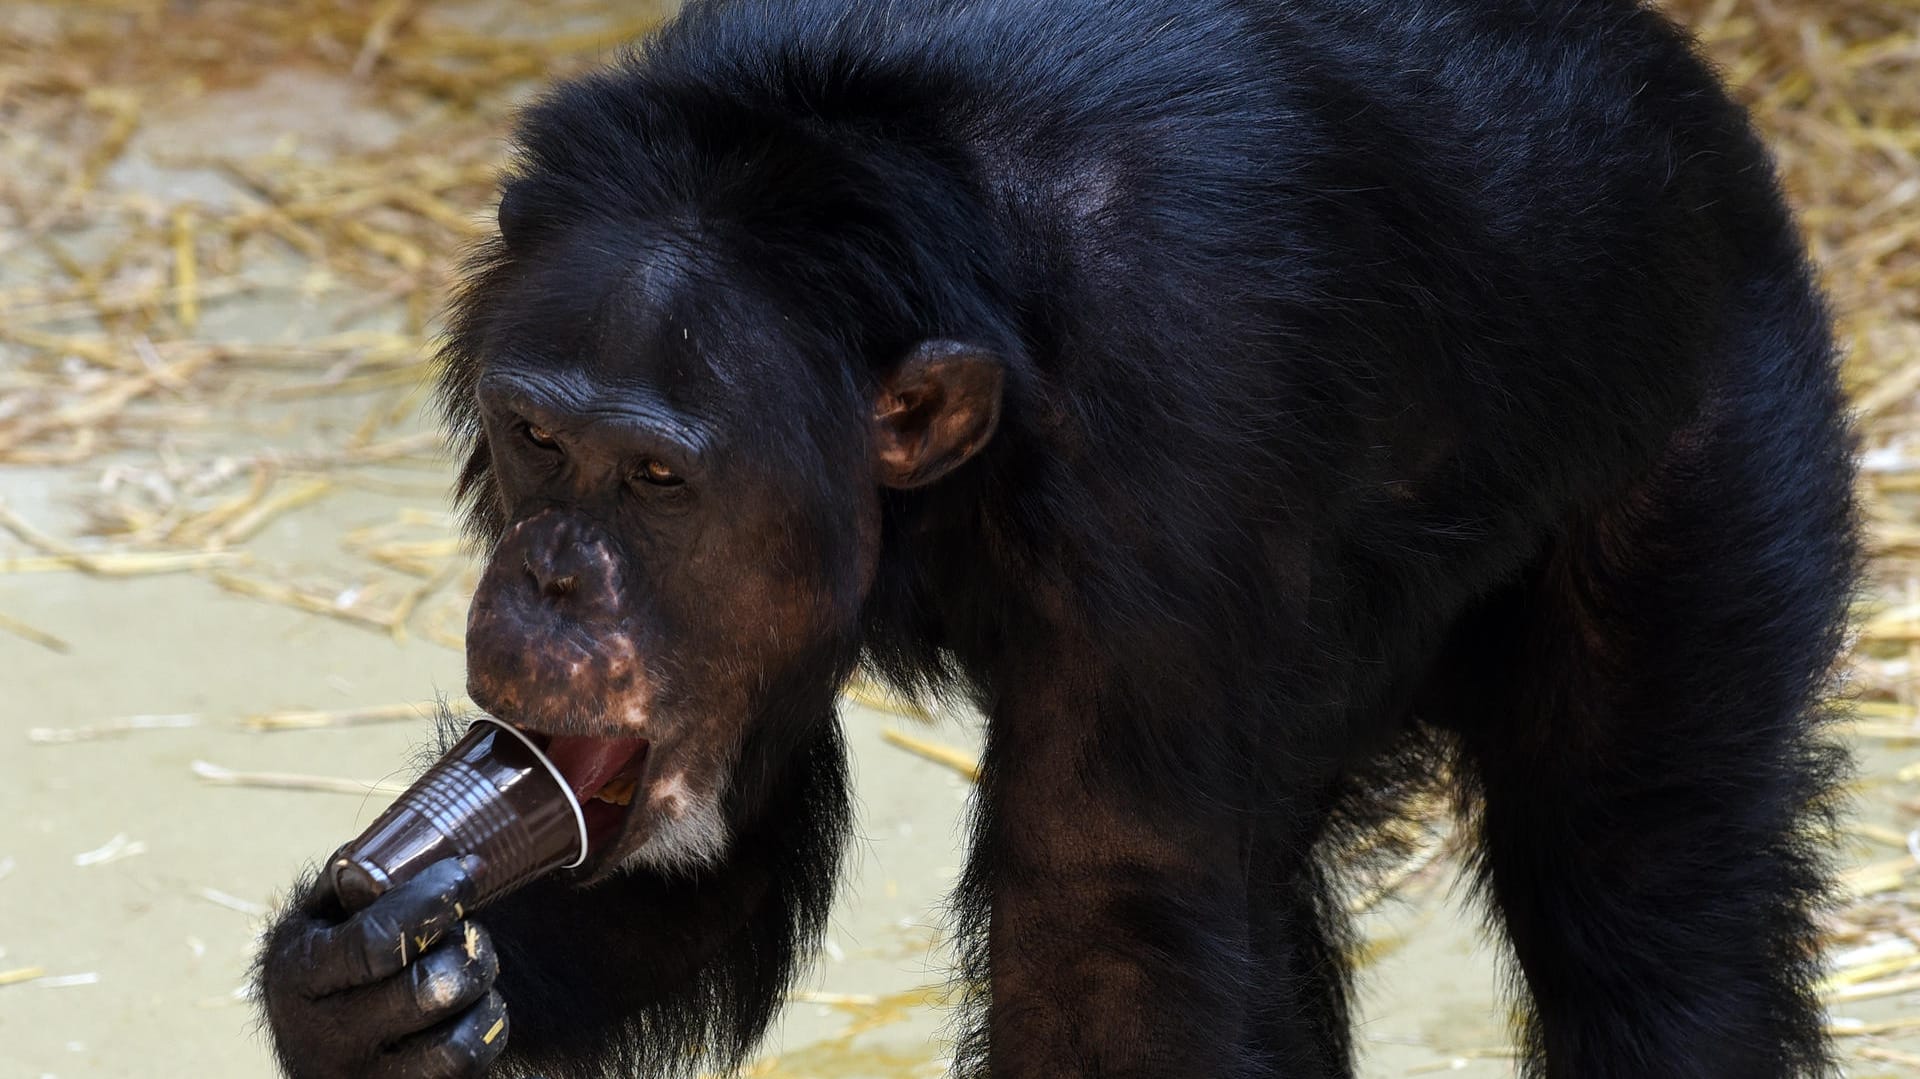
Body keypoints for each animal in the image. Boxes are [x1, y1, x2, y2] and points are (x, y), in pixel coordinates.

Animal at [255, 0, 1858, 1067]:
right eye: (539, 438)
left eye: (655, 476)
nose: (553, 573)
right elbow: (708, 851)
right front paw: (361, 991)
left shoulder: (1173, 439)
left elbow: (1105, 931)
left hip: (1715, 435)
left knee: (1643, 897)